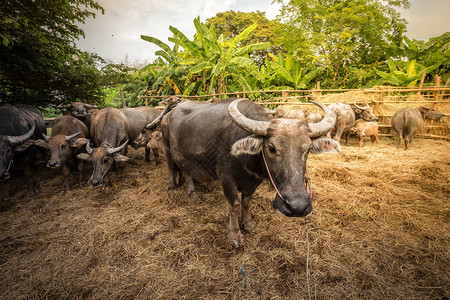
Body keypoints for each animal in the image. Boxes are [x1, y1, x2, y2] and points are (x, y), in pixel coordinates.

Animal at [160, 98, 340, 246]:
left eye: (308, 149)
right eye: (271, 147)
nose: (298, 206)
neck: (247, 159)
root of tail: (170, 113)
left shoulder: (252, 182)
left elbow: (247, 202)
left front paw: (248, 224)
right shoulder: (227, 179)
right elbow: (234, 205)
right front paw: (234, 234)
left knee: (186, 169)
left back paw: (193, 192)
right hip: (167, 148)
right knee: (171, 167)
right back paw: (172, 189)